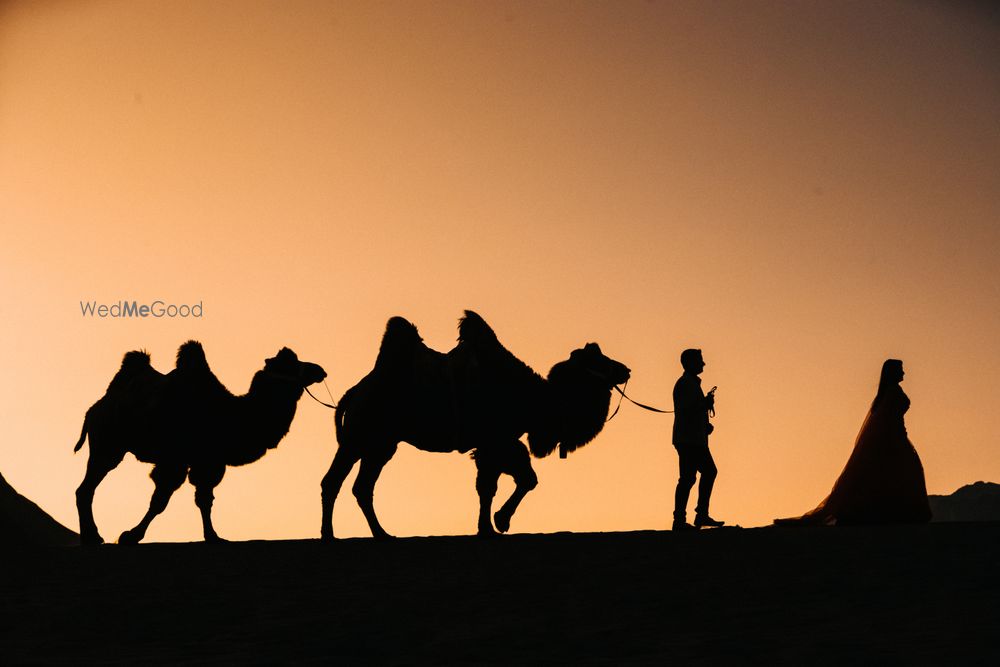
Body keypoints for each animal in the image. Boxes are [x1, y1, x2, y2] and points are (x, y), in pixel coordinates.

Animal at [75, 342, 324, 544]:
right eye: (290, 362)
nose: (319, 370)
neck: (236, 415)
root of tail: (95, 408)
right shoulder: (175, 460)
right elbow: (160, 501)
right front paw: (131, 535)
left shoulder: (209, 462)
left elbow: (205, 500)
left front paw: (213, 536)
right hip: (108, 445)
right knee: (86, 488)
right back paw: (91, 536)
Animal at [320, 310, 628, 540]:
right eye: (600, 360)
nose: (626, 369)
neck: (532, 399)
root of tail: (354, 393)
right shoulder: (497, 440)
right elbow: (509, 483)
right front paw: (498, 523)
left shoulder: (497, 443)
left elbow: (500, 484)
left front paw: (490, 526)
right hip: (359, 437)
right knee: (334, 481)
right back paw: (330, 535)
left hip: (381, 444)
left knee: (361, 487)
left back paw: (382, 534)